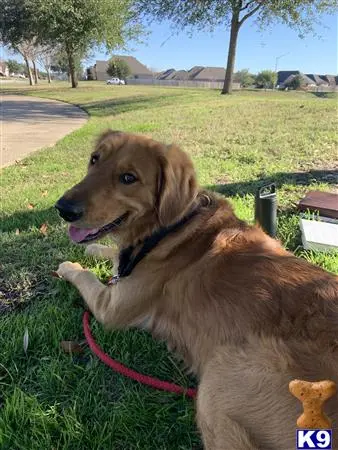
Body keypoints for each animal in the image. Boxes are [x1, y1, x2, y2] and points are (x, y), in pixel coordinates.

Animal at [56, 130, 338, 450]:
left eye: (128, 178)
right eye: (94, 159)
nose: (62, 209)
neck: (171, 227)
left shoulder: (111, 307)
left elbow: (86, 274)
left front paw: (69, 265)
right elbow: (110, 256)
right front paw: (94, 249)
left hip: (220, 382)